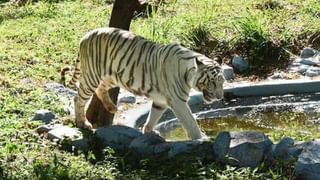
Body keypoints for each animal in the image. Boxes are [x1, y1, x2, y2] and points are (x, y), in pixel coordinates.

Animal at [61, 27, 224, 141]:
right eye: (212, 82)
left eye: (222, 82)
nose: (220, 97)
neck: (188, 71)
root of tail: (86, 35)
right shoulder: (178, 101)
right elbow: (190, 121)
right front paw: (201, 138)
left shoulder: (160, 101)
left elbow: (153, 116)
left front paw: (149, 132)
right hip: (92, 76)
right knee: (78, 98)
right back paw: (82, 123)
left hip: (111, 77)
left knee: (100, 89)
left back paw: (112, 107)